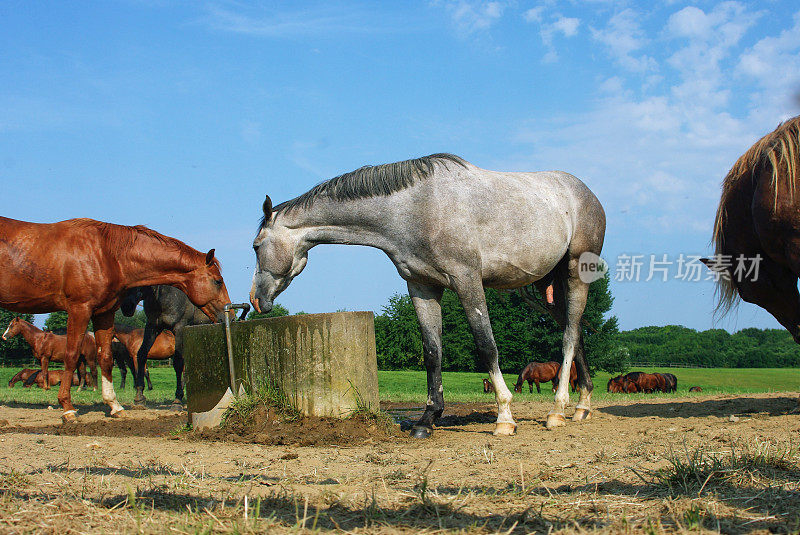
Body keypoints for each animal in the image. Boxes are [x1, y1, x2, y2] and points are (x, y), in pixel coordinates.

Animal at [0, 218, 231, 422]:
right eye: (218, 281)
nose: (227, 312)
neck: (106, 253)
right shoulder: (79, 309)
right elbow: (72, 355)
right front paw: (67, 408)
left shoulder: (103, 313)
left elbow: (106, 358)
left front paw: (114, 406)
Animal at [252, 153, 608, 438]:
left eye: (256, 246)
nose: (257, 299)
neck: (415, 208)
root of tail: (587, 194)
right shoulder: (422, 287)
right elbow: (432, 352)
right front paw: (427, 419)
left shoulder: (467, 281)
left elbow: (486, 345)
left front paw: (504, 417)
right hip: (549, 287)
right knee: (575, 331)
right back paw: (582, 405)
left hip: (576, 274)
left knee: (568, 336)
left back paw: (556, 411)